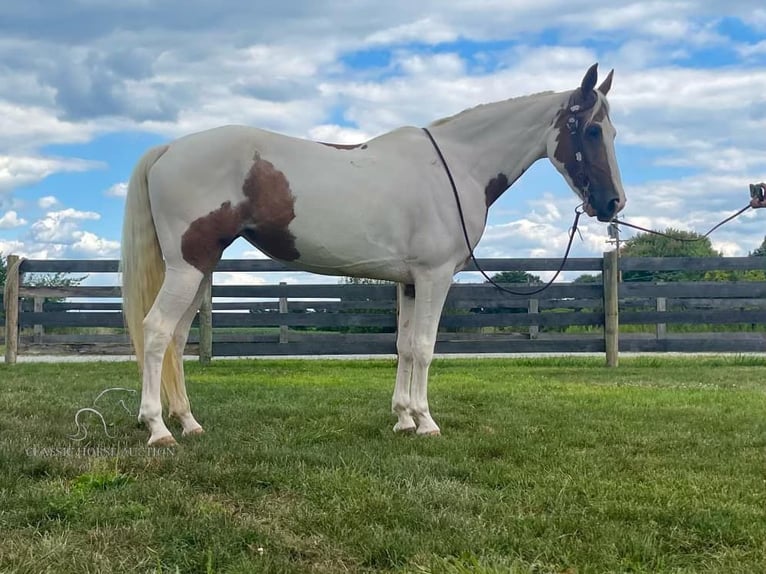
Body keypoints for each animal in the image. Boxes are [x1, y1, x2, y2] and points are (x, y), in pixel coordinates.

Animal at [120, 64, 624, 450]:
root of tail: (169, 148)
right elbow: (424, 347)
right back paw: (159, 429)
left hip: (199, 269)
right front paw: (426, 422)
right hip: (187, 269)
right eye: (593, 129)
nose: (613, 203)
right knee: (156, 331)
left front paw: (402, 418)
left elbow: (403, 345)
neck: (456, 167)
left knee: (176, 340)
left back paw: (188, 422)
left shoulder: (410, 282)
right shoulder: (436, 277)